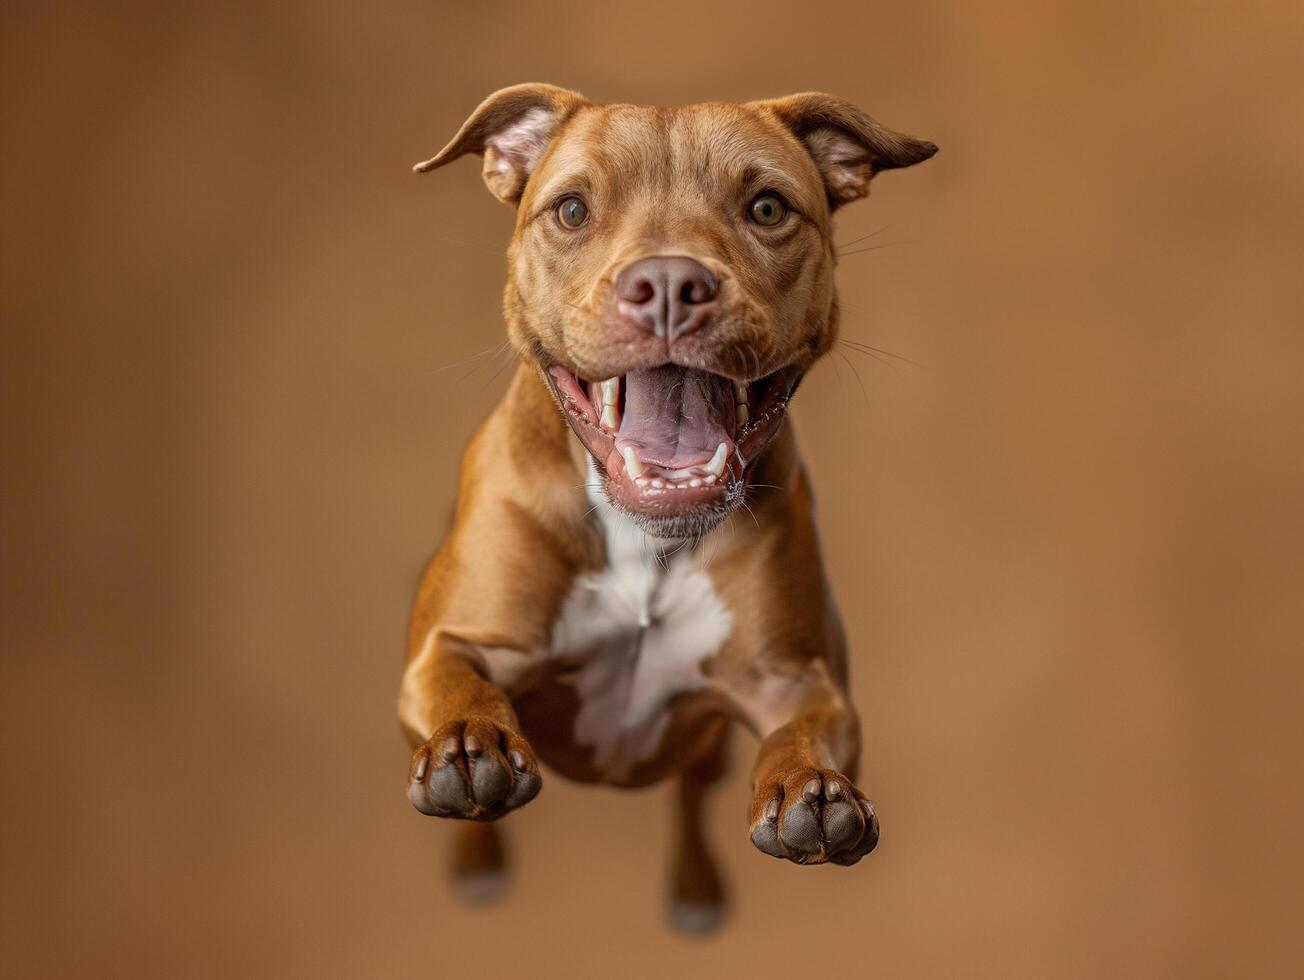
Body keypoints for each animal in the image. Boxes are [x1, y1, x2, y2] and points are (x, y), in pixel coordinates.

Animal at [399, 82, 938, 927]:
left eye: (767, 207)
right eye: (572, 210)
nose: (670, 286)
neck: (646, 539)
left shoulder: (800, 681)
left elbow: (806, 735)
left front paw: (812, 791)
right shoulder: (447, 645)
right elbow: (461, 684)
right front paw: (467, 742)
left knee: (691, 795)